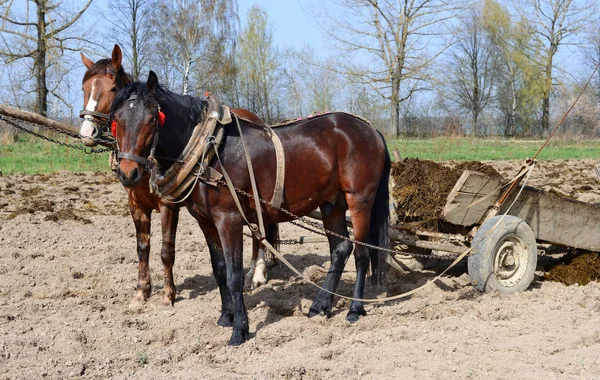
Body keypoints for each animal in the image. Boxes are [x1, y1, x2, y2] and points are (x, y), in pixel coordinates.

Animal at [78, 44, 274, 308]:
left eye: (112, 88)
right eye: (84, 88)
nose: (87, 132)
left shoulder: (168, 205)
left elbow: (166, 249)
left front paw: (167, 295)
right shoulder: (135, 204)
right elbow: (142, 248)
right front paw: (141, 292)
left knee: (258, 230)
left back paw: (257, 272)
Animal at [110, 72, 392, 348]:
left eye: (151, 119)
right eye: (117, 120)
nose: (128, 173)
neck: (209, 152)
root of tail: (371, 129)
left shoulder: (229, 220)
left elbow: (234, 275)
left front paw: (239, 330)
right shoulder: (206, 221)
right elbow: (219, 270)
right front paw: (226, 317)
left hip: (359, 201)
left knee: (362, 253)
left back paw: (354, 309)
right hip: (331, 204)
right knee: (340, 250)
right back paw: (320, 305)